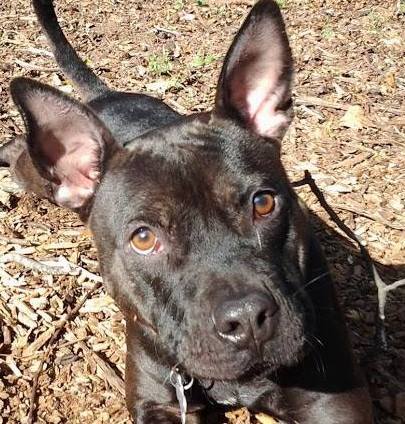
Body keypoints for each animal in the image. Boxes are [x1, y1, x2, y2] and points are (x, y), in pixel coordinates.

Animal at [0, 0, 372, 422]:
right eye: (144, 238)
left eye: (263, 203)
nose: (246, 317)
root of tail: (107, 96)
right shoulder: (157, 402)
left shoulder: (335, 403)